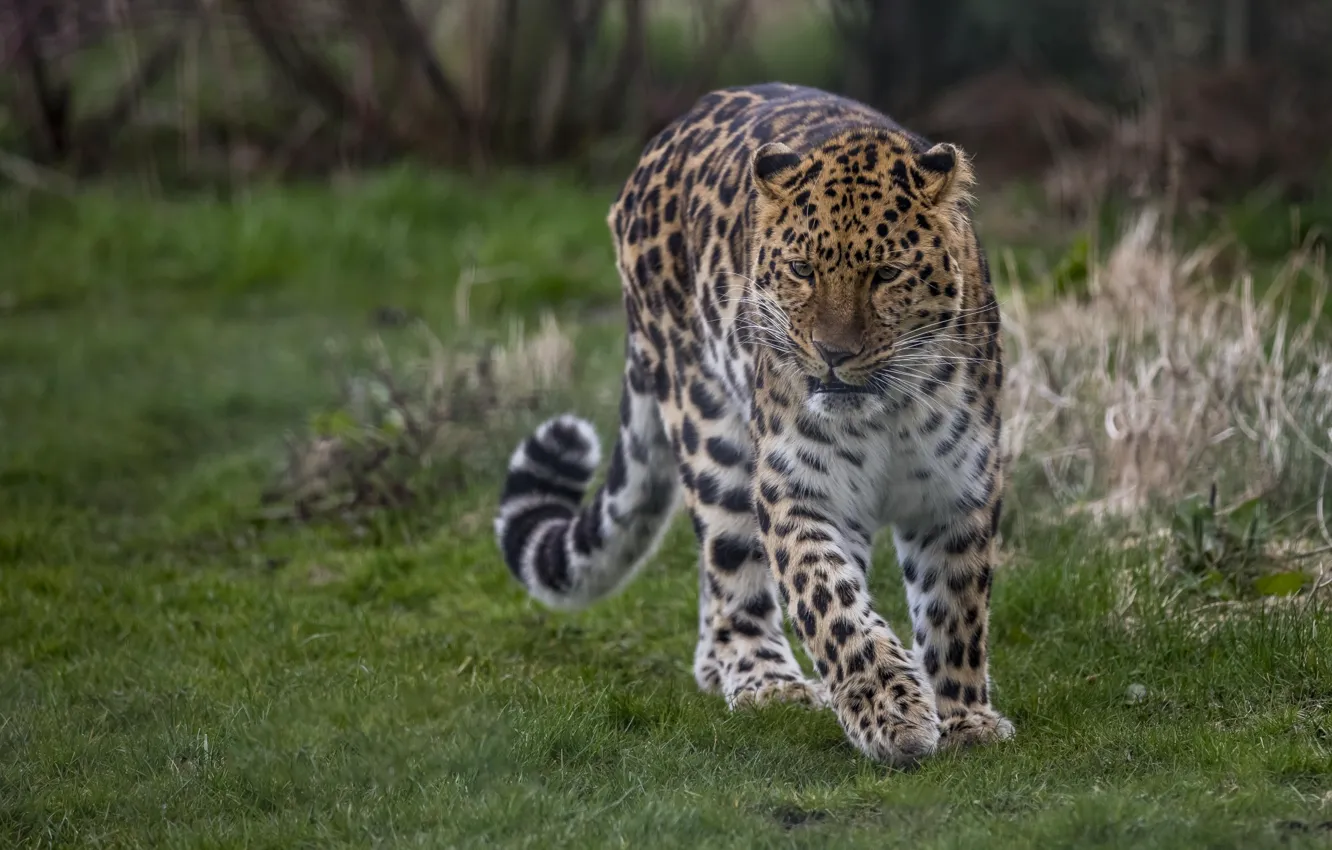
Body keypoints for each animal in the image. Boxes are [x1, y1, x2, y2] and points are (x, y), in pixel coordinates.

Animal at [493, 83, 1013, 767]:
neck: (890, 411)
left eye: (886, 274)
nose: (833, 353)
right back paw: (765, 680)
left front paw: (964, 718)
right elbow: (832, 604)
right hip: (709, 428)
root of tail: (664, 138)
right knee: (730, 563)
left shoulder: (957, 495)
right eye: (801, 269)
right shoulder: (798, 490)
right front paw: (890, 712)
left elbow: (957, 611)